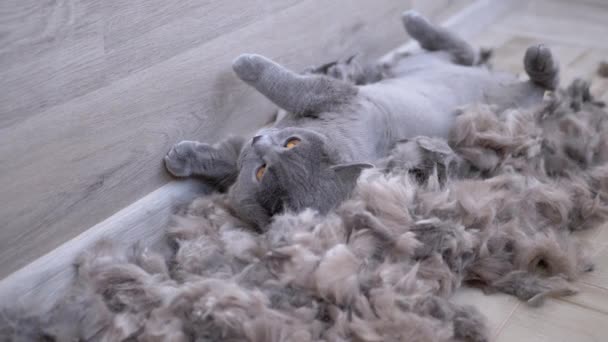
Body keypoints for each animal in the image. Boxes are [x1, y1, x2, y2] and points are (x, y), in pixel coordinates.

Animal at [163, 11, 560, 230]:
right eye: (291, 143)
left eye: (265, 170)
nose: (262, 142)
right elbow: (222, 157)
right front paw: (181, 157)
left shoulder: (333, 94)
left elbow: (286, 83)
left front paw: (246, 63)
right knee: (469, 52)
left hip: (460, 72)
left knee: (533, 78)